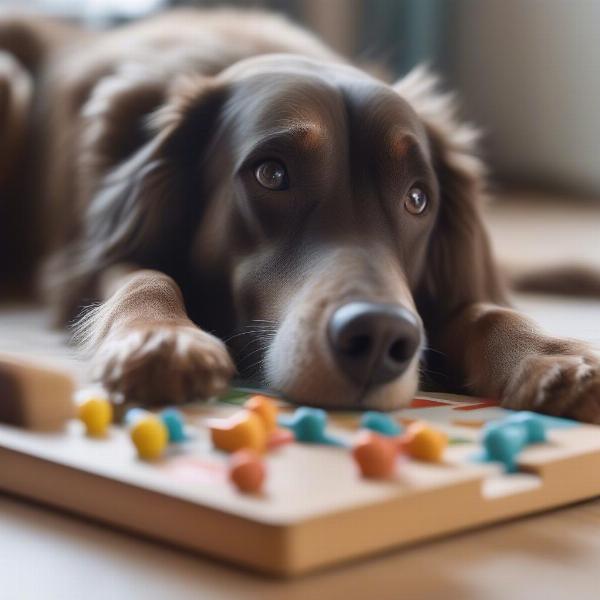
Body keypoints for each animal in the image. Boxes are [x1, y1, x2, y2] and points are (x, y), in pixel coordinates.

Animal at [1, 8, 600, 422]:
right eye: (272, 174)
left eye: (417, 199)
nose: (380, 339)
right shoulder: (84, 264)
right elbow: (143, 274)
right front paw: (162, 339)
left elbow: (484, 308)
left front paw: (554, 356)